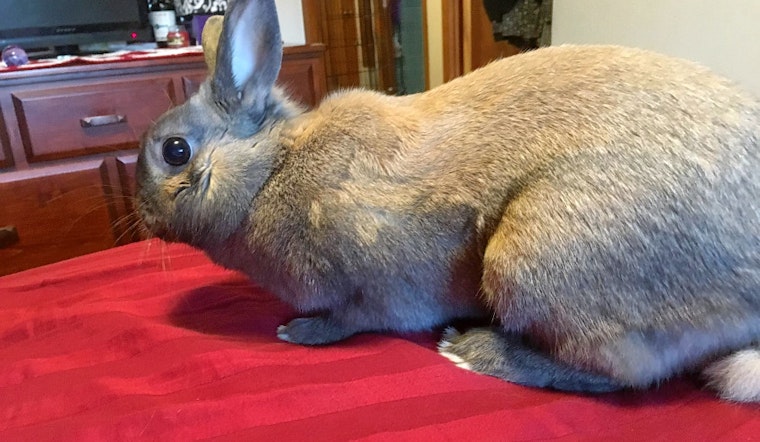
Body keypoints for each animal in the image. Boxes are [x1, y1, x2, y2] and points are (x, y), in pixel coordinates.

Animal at [135, 0, 760, 402]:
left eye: (174, 150)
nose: (140, 214)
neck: (271, 170)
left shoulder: (374, 281)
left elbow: (354, 319)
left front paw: (300, 332)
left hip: (532, 259)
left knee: (625, 374)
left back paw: (474, 351)